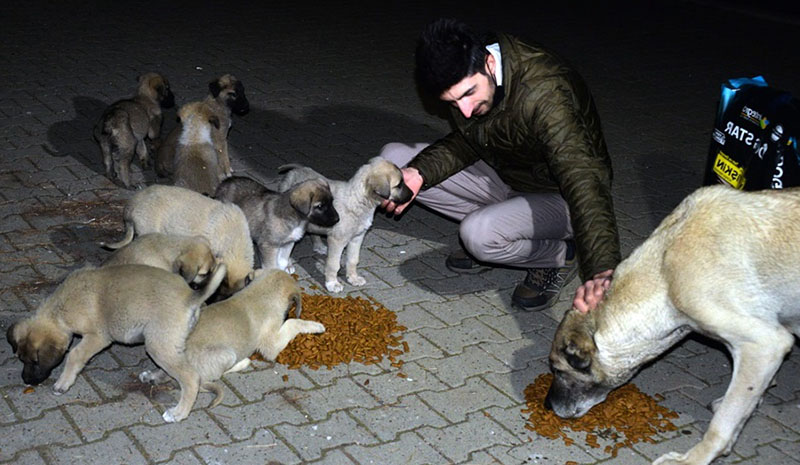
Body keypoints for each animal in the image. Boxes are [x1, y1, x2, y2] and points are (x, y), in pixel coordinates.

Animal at [7, 262, 228, 422]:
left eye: (35, 361)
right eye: (21, 359)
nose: (26, 381)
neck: (60, 309)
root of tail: (190, 296)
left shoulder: (98, 337)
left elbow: (74, 355)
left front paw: (63, 382)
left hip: (158, 344)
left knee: (190, 377)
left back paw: (179, 412)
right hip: (168, 343)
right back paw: (153, 377)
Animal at [139, 268, 324, 410]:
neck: (261, 293)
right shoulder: (271, 345)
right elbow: (293, 322)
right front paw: (316, 326)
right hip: (227, 354)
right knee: (210, 376)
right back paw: (243, 362)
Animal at [276, 158, 412, 292]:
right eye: (399, 184)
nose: (412, 195)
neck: (359, 200)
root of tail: (296, 170)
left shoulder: (357, 238)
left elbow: (353, 260)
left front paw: (353, 278)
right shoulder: (337, 241)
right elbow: (333, 265)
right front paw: (332, 283)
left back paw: (319, 246)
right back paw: (287, 264)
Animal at [544, 185, 800, 464]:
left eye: (558, 370)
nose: (547, 406)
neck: (664, 274)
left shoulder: (764, 344)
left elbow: (721, 425)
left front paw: (692, 459)